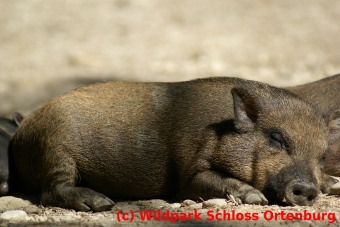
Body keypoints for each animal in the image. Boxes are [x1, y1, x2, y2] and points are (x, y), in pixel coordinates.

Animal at [8, 77, 334, 211]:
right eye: (276, 138)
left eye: (321, 155)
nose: (307, 188)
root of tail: (23, 128)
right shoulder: (188, 173)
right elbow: (207, 181)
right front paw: (256, 198)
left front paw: (331, 184)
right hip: (54, 149)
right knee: (51, 190)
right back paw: (102, 204)